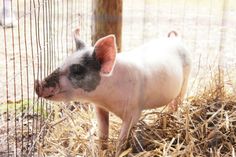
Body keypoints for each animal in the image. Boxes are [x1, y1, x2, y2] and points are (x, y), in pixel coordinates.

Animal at [35, 28, 192, 156]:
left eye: (77, 70)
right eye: (62, 63)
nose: (37, 85)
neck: (107, 99)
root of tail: (175, 38)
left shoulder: (133, 112)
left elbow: (121, 140)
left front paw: (119, 151)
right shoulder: (100, 108)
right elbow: (103, 134)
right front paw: (102, 151)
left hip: (186, 78)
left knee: (177, 102)